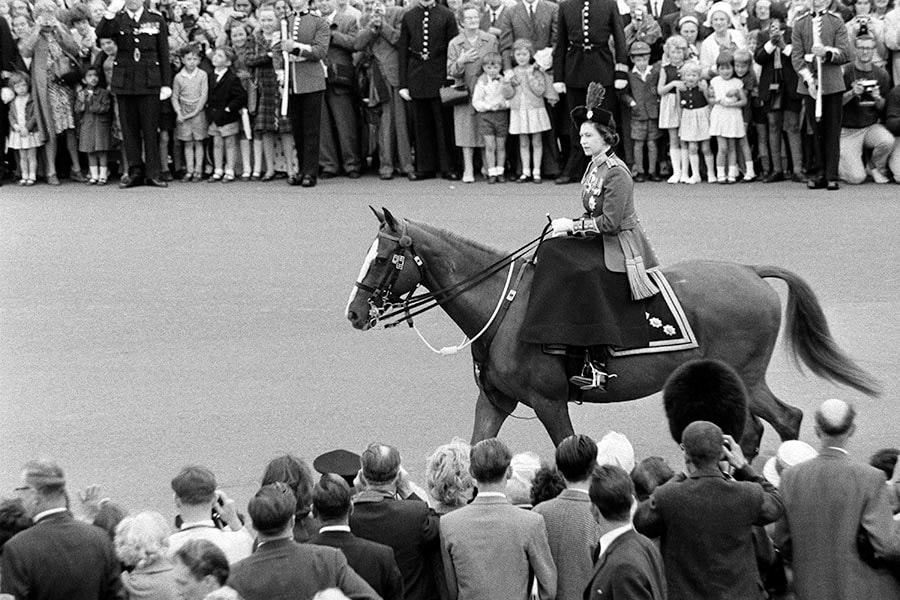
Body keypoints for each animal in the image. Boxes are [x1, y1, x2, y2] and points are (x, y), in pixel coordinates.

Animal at [348, 207, 884, 454]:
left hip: (745, 377)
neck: (504, 306)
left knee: (778, 420)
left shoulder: (549, 401)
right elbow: (480, 448)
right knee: (762, 425)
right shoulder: (496, 400)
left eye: (383, 258)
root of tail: (751, 271)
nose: (353, 313)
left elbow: (567, 451)